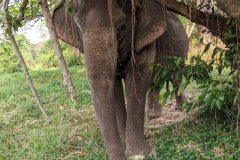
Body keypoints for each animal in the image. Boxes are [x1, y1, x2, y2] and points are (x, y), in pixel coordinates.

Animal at [53, 0, 189, 159]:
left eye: (122, 27)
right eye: (79, 28)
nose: (120, 155)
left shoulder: (144, 39)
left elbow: (139, 77)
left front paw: (137, 153)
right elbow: (115, 85)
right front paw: (125, 142)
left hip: (181, 50)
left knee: (175, 78)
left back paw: (178, 109)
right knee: (155, 83)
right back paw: (153, 116)